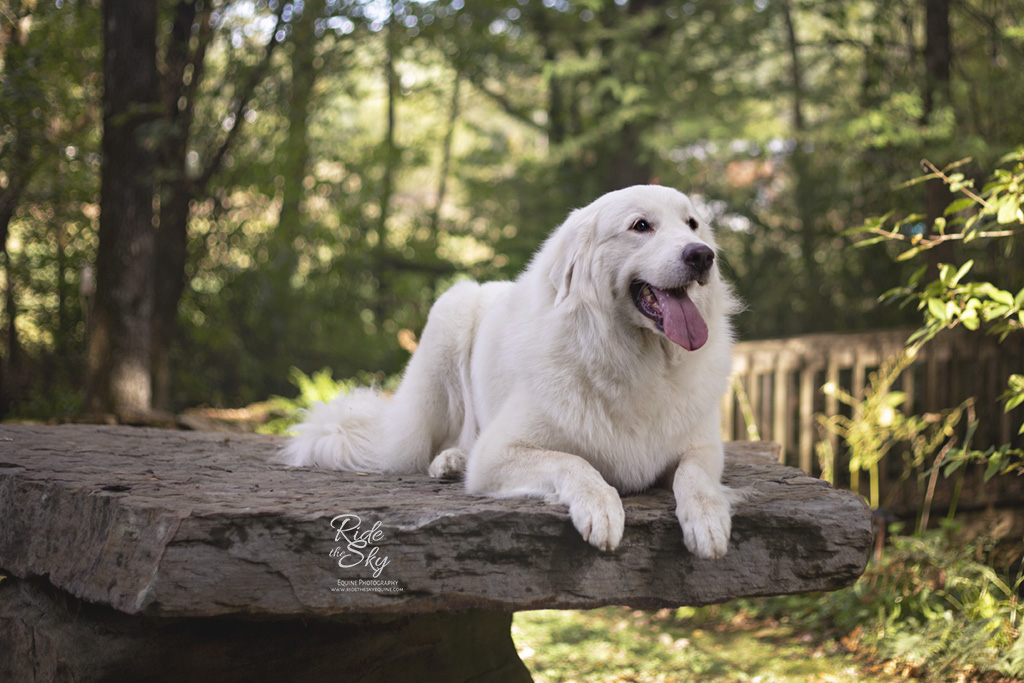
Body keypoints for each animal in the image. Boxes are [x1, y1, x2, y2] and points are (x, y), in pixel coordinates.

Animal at [282, 184, 745, 557]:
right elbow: (573, 463)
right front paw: (601, 506)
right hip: (448, 324)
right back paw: (449, 460)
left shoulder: (703, 446)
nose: (702, 255)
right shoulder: (498, 454)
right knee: (438, 440)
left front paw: (707, 521)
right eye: (641, 225)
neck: (632, 358)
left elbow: (694, 476)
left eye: (692, 224)